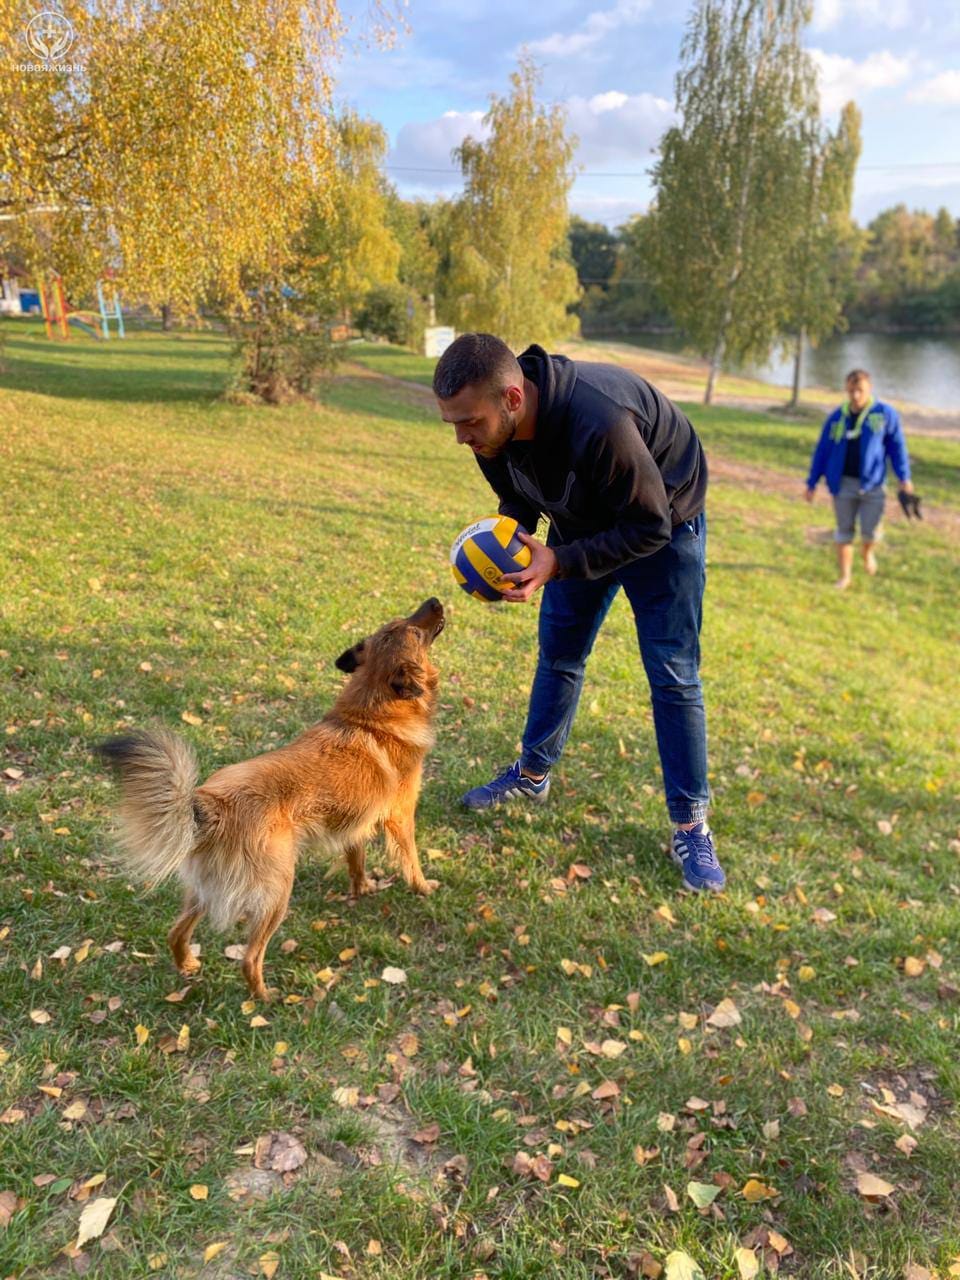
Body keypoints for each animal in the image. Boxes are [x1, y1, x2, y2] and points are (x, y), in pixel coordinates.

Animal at [97, 599, 442, 998]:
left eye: (402, 622)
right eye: (414, 631)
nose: (435, 601)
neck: (371, 710)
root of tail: (211, 804)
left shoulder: (356, 822)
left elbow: (356, 860)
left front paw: (362, 889)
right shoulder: (400, 816)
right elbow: (411, 859)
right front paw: (423, 888)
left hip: (205, 890)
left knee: (175, 931)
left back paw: (187, 966)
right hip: (277, 890)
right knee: (249, 958)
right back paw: (266, 997)